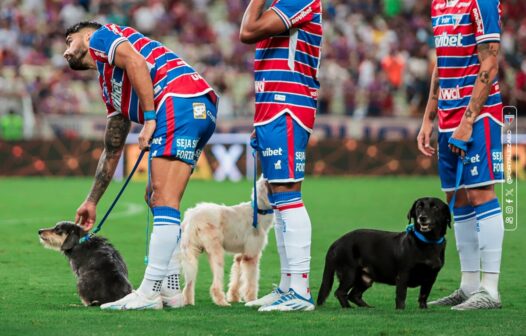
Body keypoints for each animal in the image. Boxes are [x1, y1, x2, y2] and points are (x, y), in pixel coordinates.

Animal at [180, 177, 274, 306]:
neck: (258, 211)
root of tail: (192, 217)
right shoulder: (251, 255)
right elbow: (251, 281)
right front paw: (252, 300)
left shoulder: (240, 255)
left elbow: (237, 276)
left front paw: (234, 297)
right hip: (216, 253)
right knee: (215, 285)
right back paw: (222, 302)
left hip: (190, 255)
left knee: (188, 284)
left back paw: (189, 302)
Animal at [318, 197, 454, 310]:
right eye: (418, 207)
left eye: (435, 207)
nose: (422, 217)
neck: (428, 242)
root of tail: (337, 241)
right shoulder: (403, 274)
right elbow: (401, 295)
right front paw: (400, 310)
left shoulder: (431, 276)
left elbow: (424, 295)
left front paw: (423, 309)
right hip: (349, 272)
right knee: (340, 292)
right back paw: (348, 308)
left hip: (365, 278)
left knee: (353, 295)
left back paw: (368, 307)